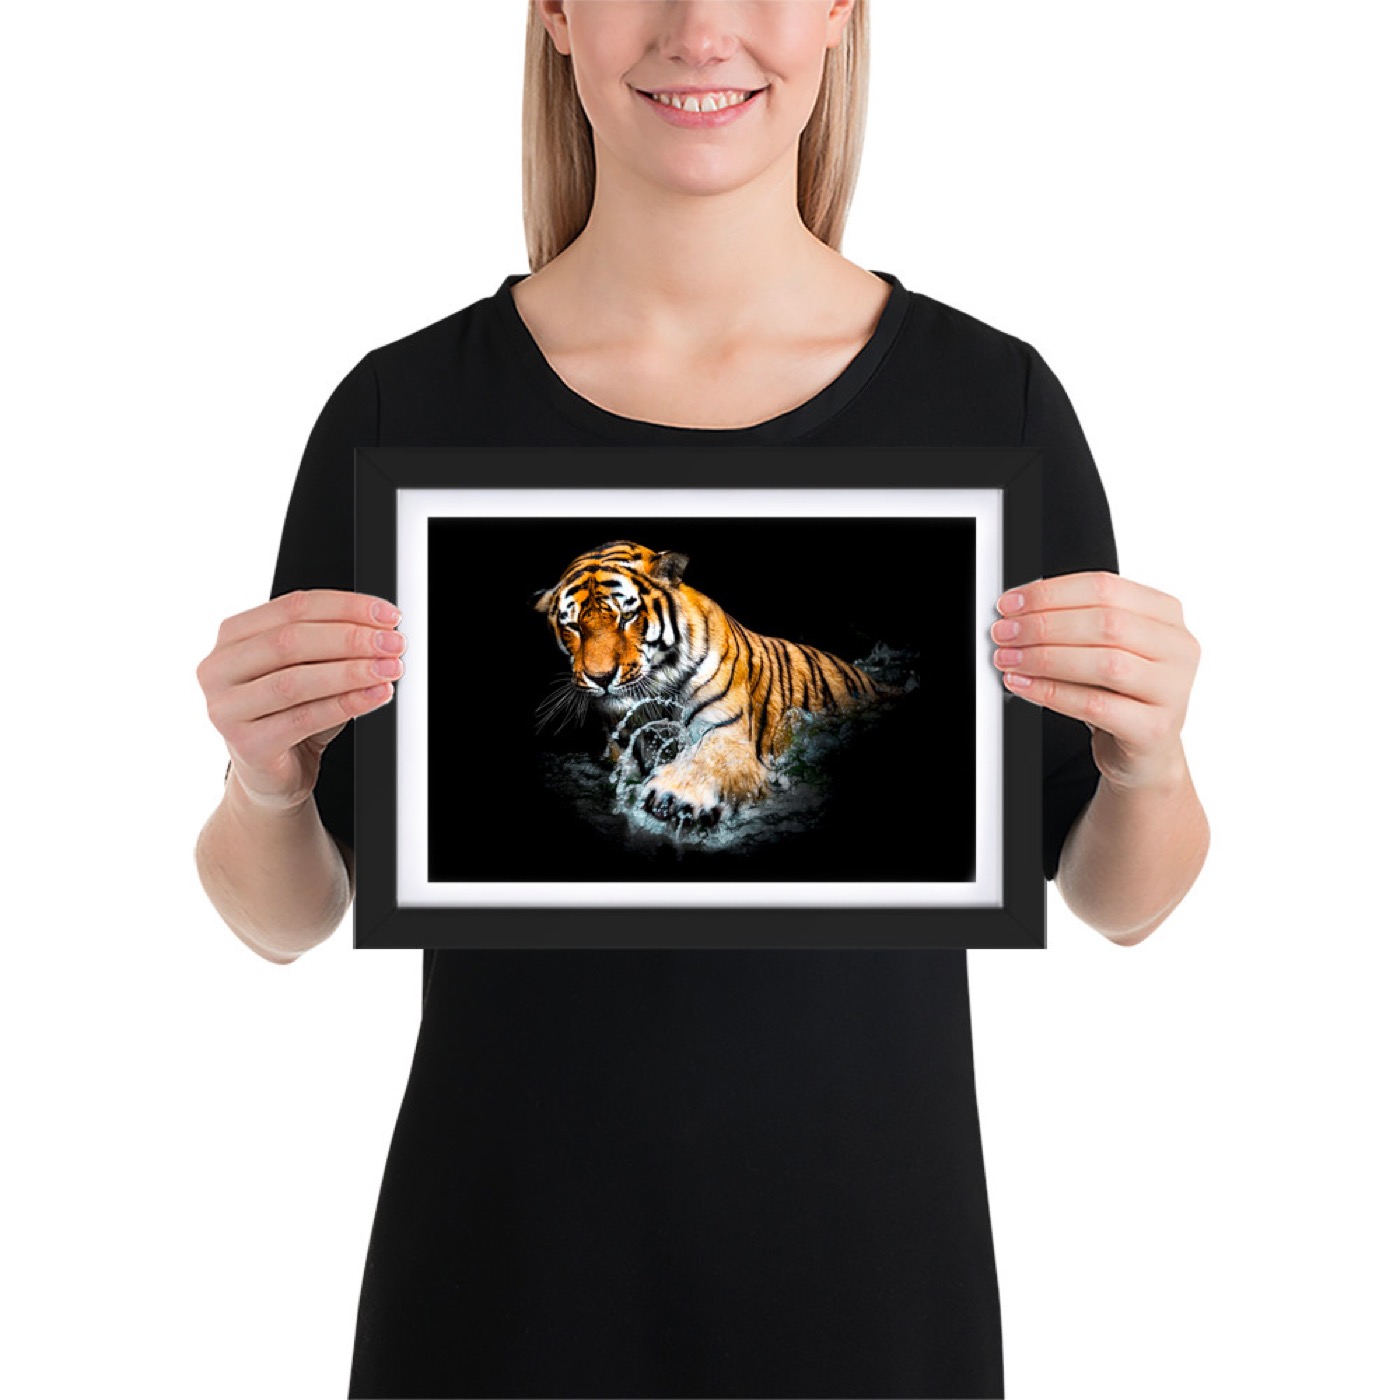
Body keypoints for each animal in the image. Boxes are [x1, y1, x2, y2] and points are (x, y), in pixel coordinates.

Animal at [532, 539, 900, 828]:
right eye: (573, 626)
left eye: (627, 617)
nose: (601, 677)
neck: (654, 703)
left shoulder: (729, 733)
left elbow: (709, 758)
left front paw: (675, 794)